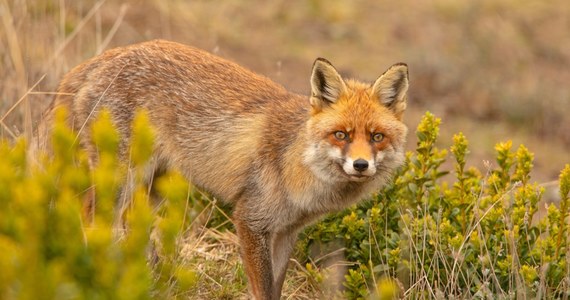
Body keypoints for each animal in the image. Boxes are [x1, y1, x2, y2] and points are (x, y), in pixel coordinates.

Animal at [32, 39, 408, 298]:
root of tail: (105, 56)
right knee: (89, 216)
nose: (360, 165)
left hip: (154, 184)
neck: (296, 161)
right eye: (341, 134)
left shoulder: (286, 231)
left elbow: (276, 287)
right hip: (123, 177)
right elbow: (262, 290)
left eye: (377, 137)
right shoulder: (250, 219)